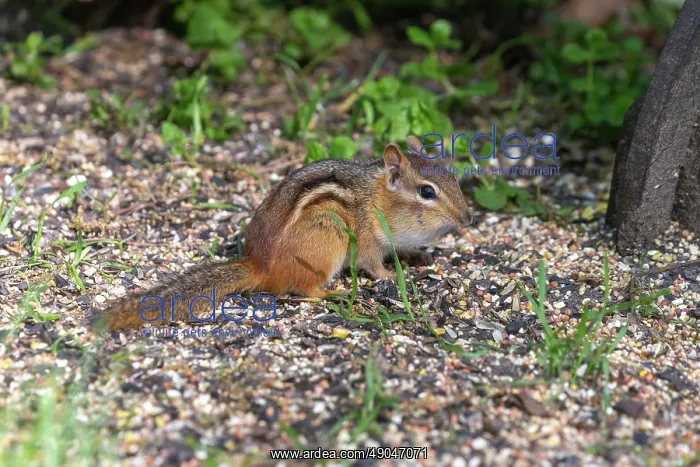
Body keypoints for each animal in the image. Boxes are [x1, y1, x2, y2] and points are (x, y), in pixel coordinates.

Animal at [93, 135, 472, 332]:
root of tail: (260, 265)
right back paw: (332, 293)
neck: (377, 197)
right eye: (427, 192)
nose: (467, 218)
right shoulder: (366, 238)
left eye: (453, 178)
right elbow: (372, 265)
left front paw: (418, 255)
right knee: (303, 289)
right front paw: (391, 275)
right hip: (328, 239)